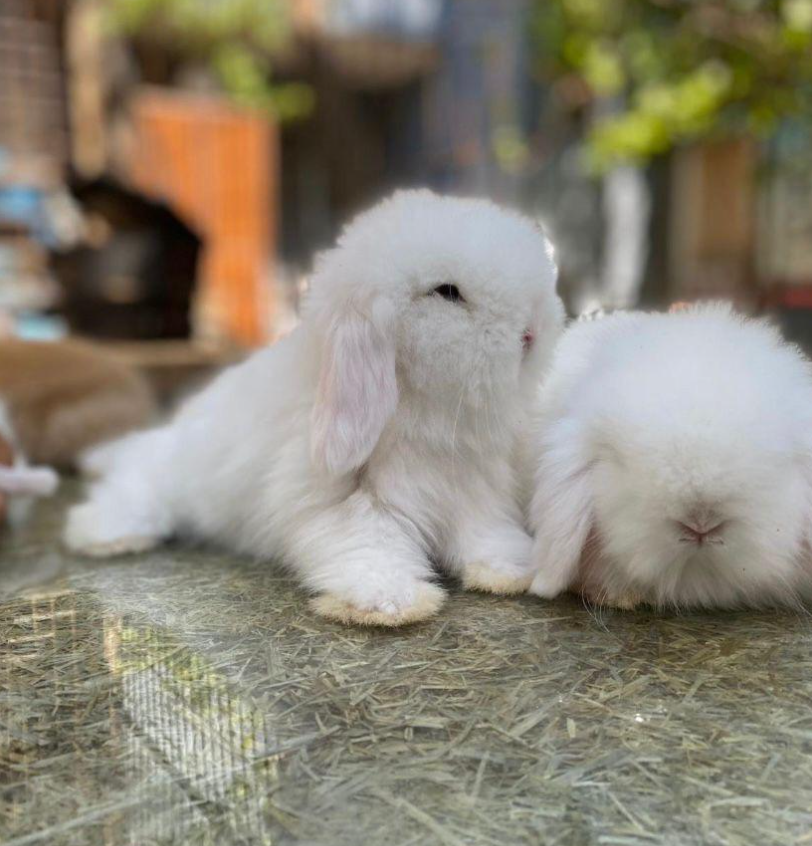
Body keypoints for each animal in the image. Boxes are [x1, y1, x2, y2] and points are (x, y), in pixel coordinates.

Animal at [66, 194, 564, 628]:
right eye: (447, 291)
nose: (531, 334)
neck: (421, 410)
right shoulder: (350, 507)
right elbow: (370, 547)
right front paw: (390, 602)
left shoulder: (472, 496)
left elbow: (486, 534)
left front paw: (511, 570)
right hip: (154, 483)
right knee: (127, 495)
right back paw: (106, 537)